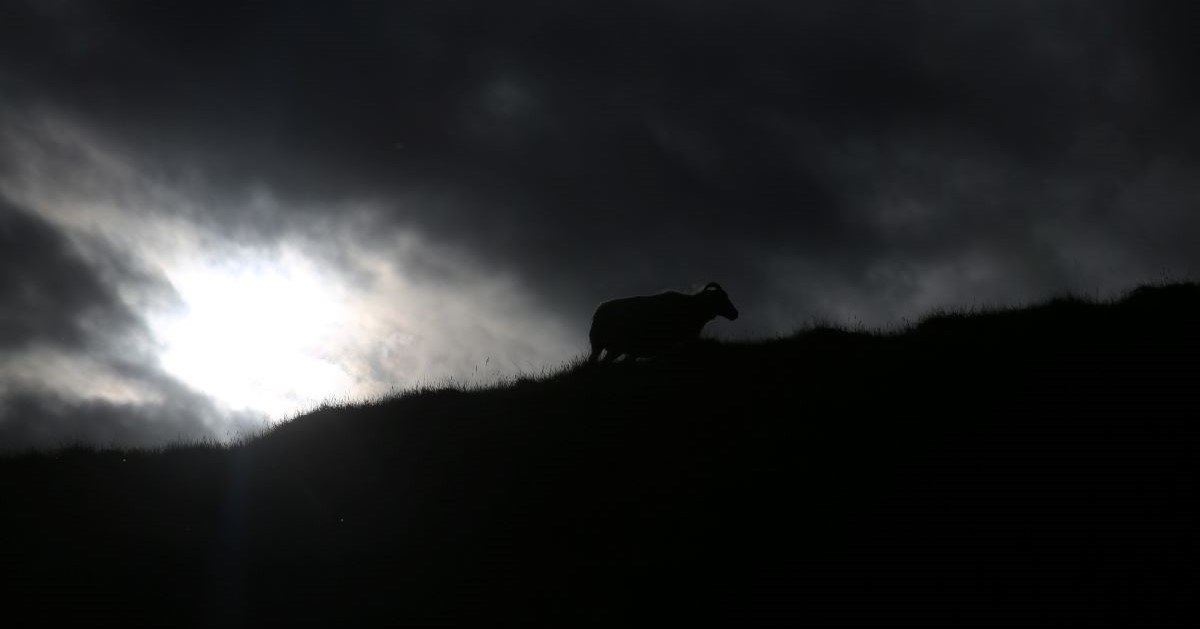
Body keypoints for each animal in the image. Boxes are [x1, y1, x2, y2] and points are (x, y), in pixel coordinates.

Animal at [585, 280, 734, 362]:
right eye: (721, 298)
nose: (735, 313)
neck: (690, 307)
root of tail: (598, 310)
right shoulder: (667, 345)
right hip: (599, 345)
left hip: (614, 349)